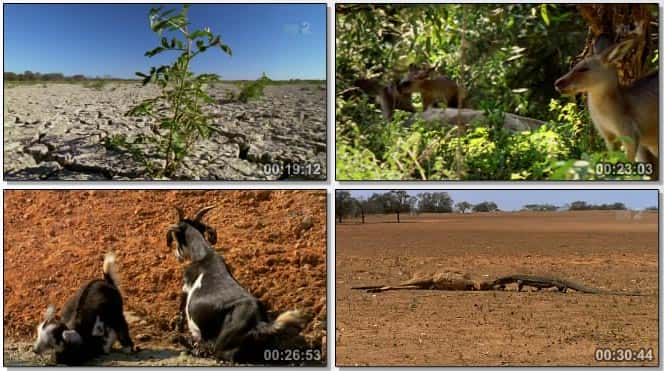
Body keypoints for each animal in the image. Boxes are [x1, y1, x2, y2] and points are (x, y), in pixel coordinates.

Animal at [166, 206, 306, 364]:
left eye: (176, 237)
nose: (177, 255)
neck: (204, 256)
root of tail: (259, 324)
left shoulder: (185, 287)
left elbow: (181, 313)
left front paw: (176, 332)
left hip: (223, 343)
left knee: (218, 353)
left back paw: (189, 345)